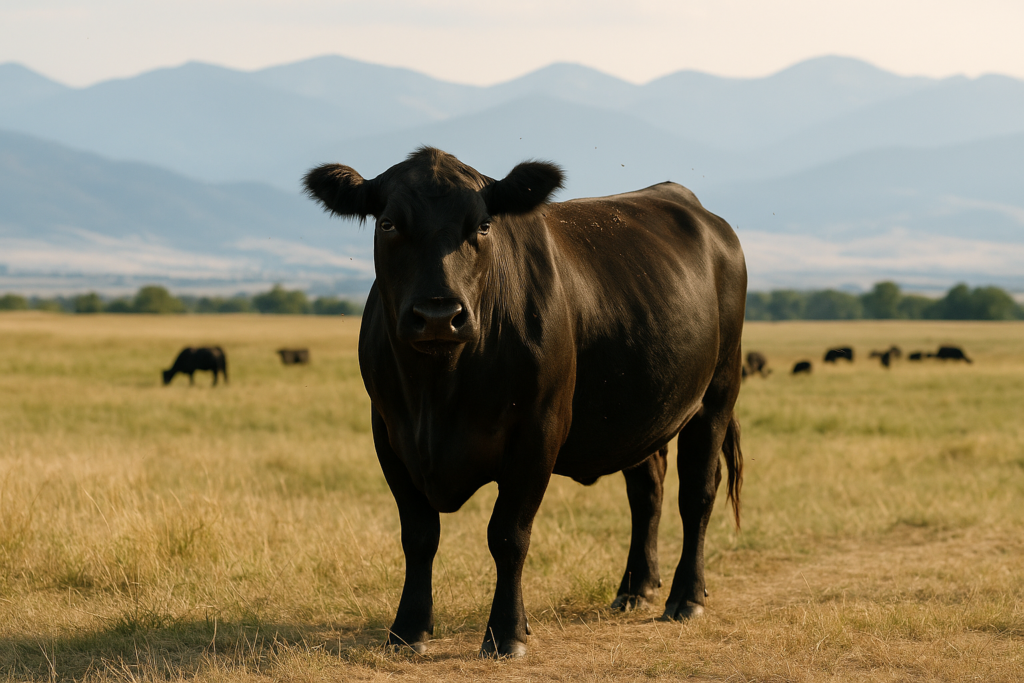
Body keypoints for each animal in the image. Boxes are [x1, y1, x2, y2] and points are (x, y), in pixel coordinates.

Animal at [303, 147, 746, 658]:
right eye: (389, 223)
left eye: (482, 226)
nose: (438, 315)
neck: (439, 390)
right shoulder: (390, 434)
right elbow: (418, 535)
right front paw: (408, 629)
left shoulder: (537, 434)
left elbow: (508, 535)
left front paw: (507, 632)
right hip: (642, 411)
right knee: (647, 490)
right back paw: (636, 588)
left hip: (716, 395)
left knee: (697, 493)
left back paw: (685, 597)